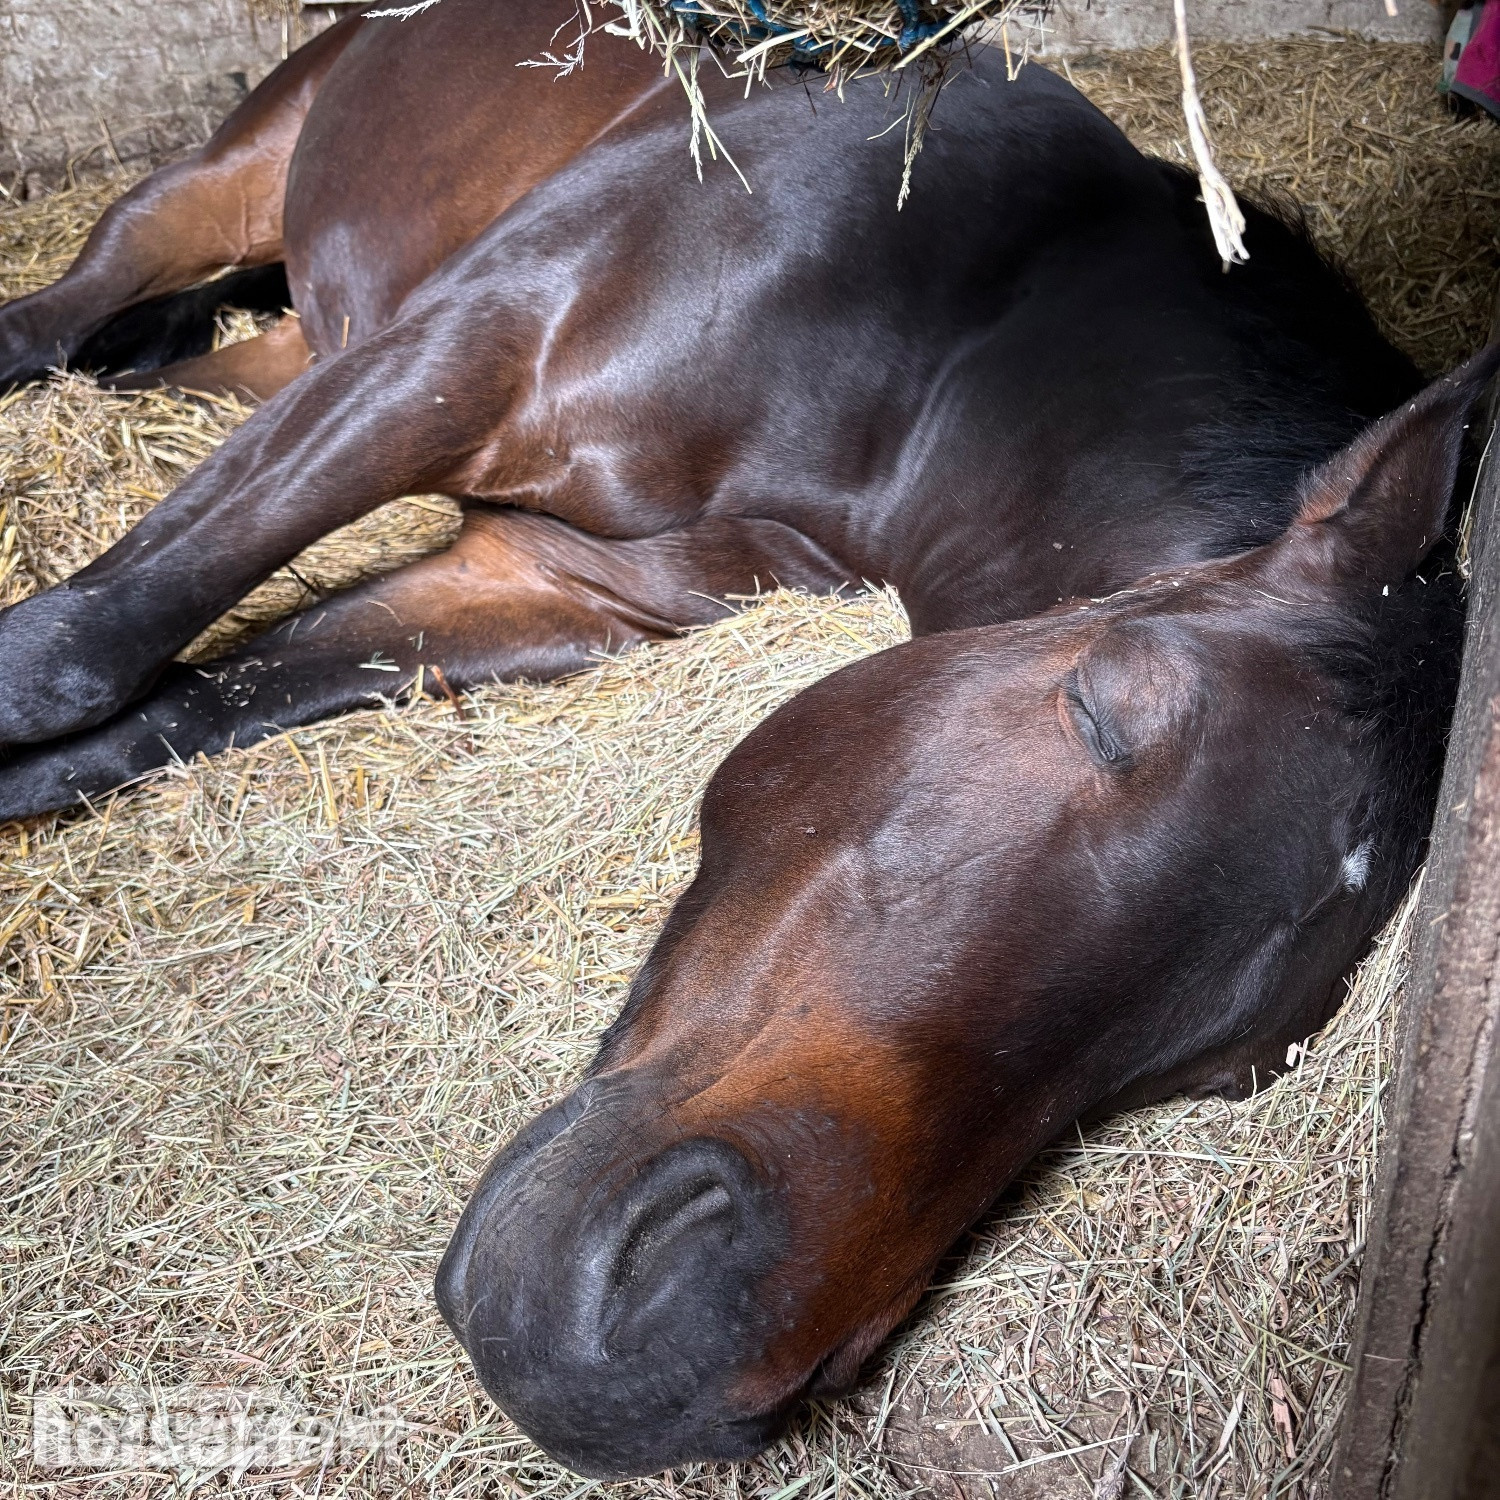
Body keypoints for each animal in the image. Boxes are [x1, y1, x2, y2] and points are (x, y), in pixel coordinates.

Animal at [0, 0, 1492, 1477]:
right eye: (1103, 707)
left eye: (1221, 1069)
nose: (646, 1360)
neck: (956, 339)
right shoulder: (465, 353)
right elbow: (73, 657)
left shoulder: (546, 584)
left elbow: (174, 709)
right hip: (230, 189)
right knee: (64, 314)